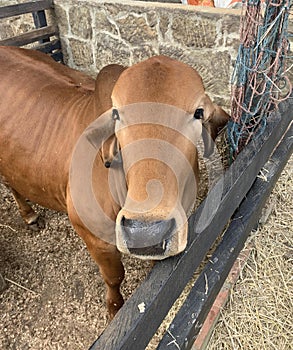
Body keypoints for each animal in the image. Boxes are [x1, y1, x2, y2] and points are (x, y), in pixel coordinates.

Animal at [0, 47, 228, 320]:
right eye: (117, 114)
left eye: (198, 113)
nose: (145, 231)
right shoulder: (94, 237)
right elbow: (114, 277)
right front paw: (114, 309)